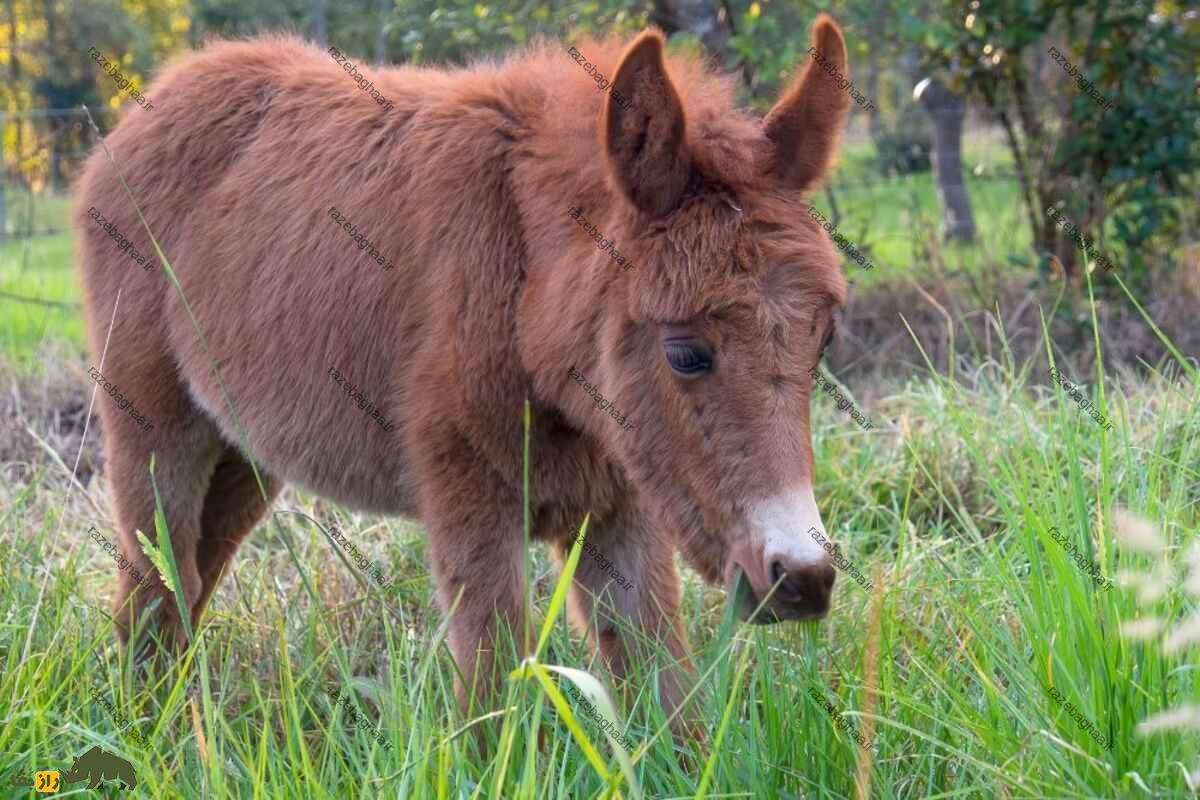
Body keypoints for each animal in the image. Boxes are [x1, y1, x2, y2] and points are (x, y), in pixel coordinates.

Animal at [77, 12, 854, 714]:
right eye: (686, 355)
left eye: (824, 339)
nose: (805, 579)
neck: (526, 291)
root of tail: (167, 90)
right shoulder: (469, 499)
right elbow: (493, 698)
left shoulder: (623, 502)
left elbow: (666, 691)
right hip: (155, 428)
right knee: (152, 587)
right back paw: (152, 734)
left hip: (245, 450)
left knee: (191, 578)